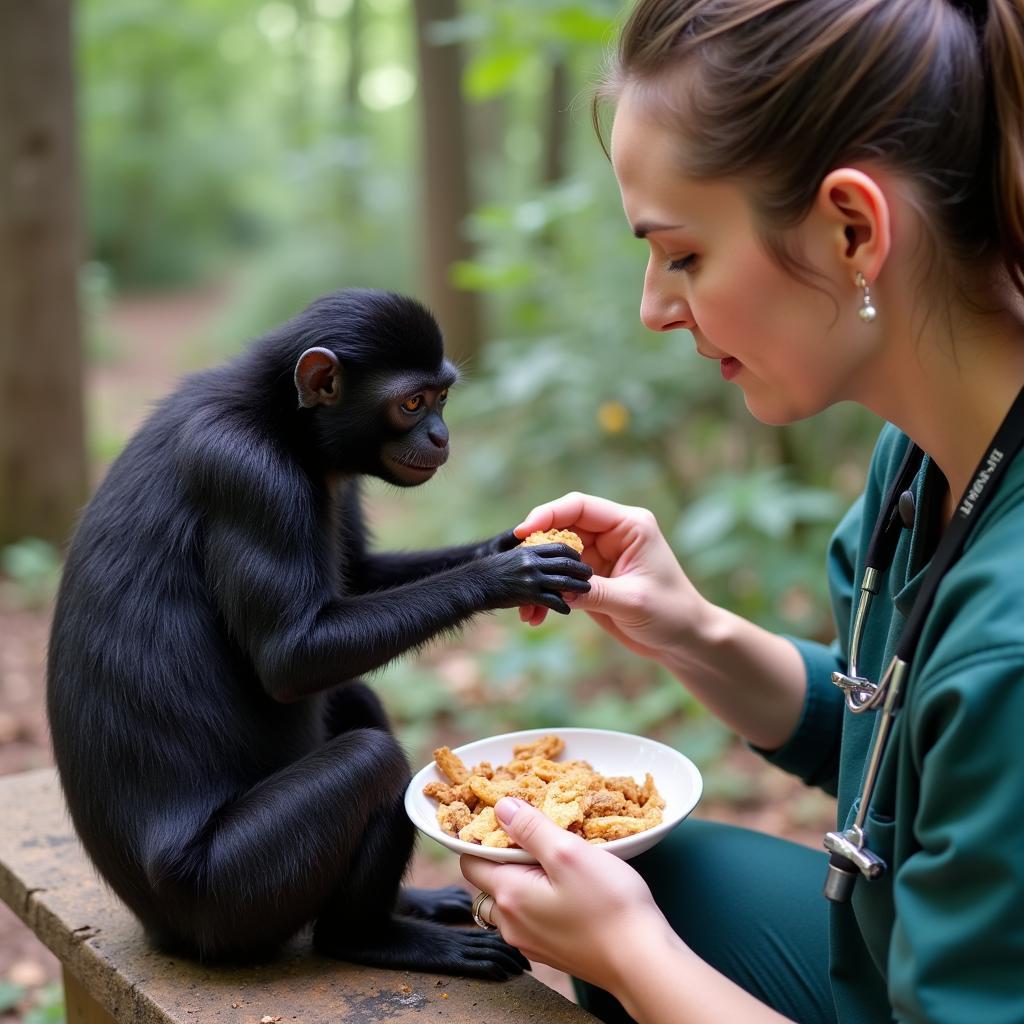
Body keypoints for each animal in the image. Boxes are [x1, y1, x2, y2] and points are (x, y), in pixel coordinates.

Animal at [48, 288, 593, 974]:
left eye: (442, 397)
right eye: (412, 403)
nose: (442, 436)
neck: (280, 417)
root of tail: (158, 926)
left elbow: (355, 580)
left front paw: (506, 545)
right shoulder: (249, 473)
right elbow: (291, 659)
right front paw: (506, 573)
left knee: (355, 697)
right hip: (229, 896)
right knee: (371, 759)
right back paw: (368, 937)